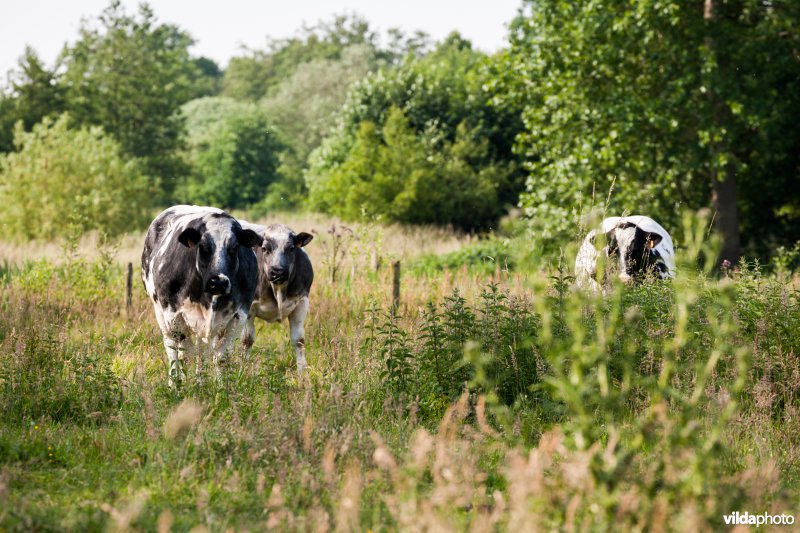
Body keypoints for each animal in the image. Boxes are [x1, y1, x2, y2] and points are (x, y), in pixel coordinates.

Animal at [139, 205, 260, 386]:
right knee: (172, 349)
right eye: (202, 246)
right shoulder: (174, 315)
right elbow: (183, 354)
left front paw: (222, 388)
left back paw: (200, 380)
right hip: (160, 312)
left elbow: (221, 357)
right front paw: (181, 385)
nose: (218, 282)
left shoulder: (240, 315)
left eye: (234, 248)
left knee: (200, 351)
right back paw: (173, 382)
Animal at [238, 220, 312, 370]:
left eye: (291, 248)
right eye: (264, 248)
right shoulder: (249, 307)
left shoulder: (302, 302)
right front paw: (242, 369)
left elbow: (299, 340)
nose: (278, 271)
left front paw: (303, 372)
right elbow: (247, 339)